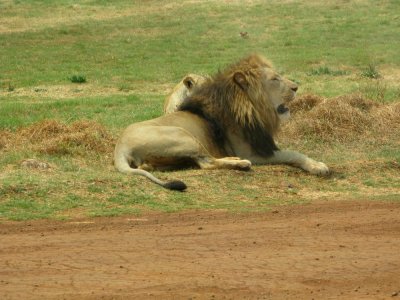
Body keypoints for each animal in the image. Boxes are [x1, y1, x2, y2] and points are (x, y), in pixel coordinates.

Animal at [112, 53, 328, 190]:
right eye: (275, 79)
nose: (296, 87)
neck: (252, 109)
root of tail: (120, 148)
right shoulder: (252, 152)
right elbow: (293, 153)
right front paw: (319, 166)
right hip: (183, 135)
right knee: (206, 162)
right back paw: (240, 164)